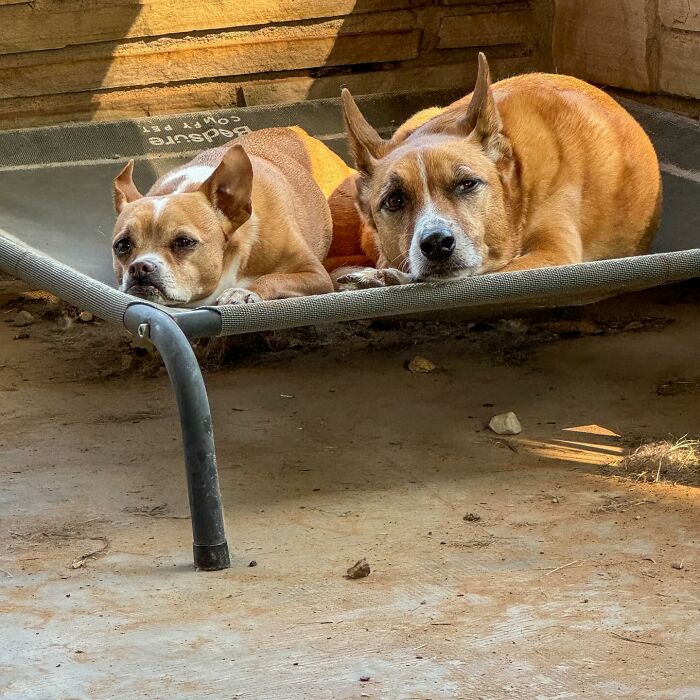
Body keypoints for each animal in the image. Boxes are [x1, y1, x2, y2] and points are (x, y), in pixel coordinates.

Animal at [112, 126, 352, 306]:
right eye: (122, 245)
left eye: (184, 242)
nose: (139, 267)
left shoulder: (316, 275)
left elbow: (274, 277)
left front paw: (244, 292)